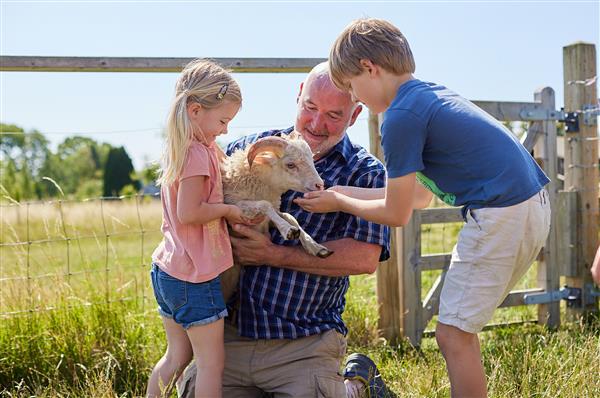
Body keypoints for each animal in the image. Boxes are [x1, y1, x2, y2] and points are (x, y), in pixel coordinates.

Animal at [219, 132, 332, 300]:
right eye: (290, 165)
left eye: (312, 160)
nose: (320, 185)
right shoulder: (235, 208)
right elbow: (265, 204)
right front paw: (288, 231)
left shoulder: (267, 219)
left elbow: (290, 216)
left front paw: (314, 246)